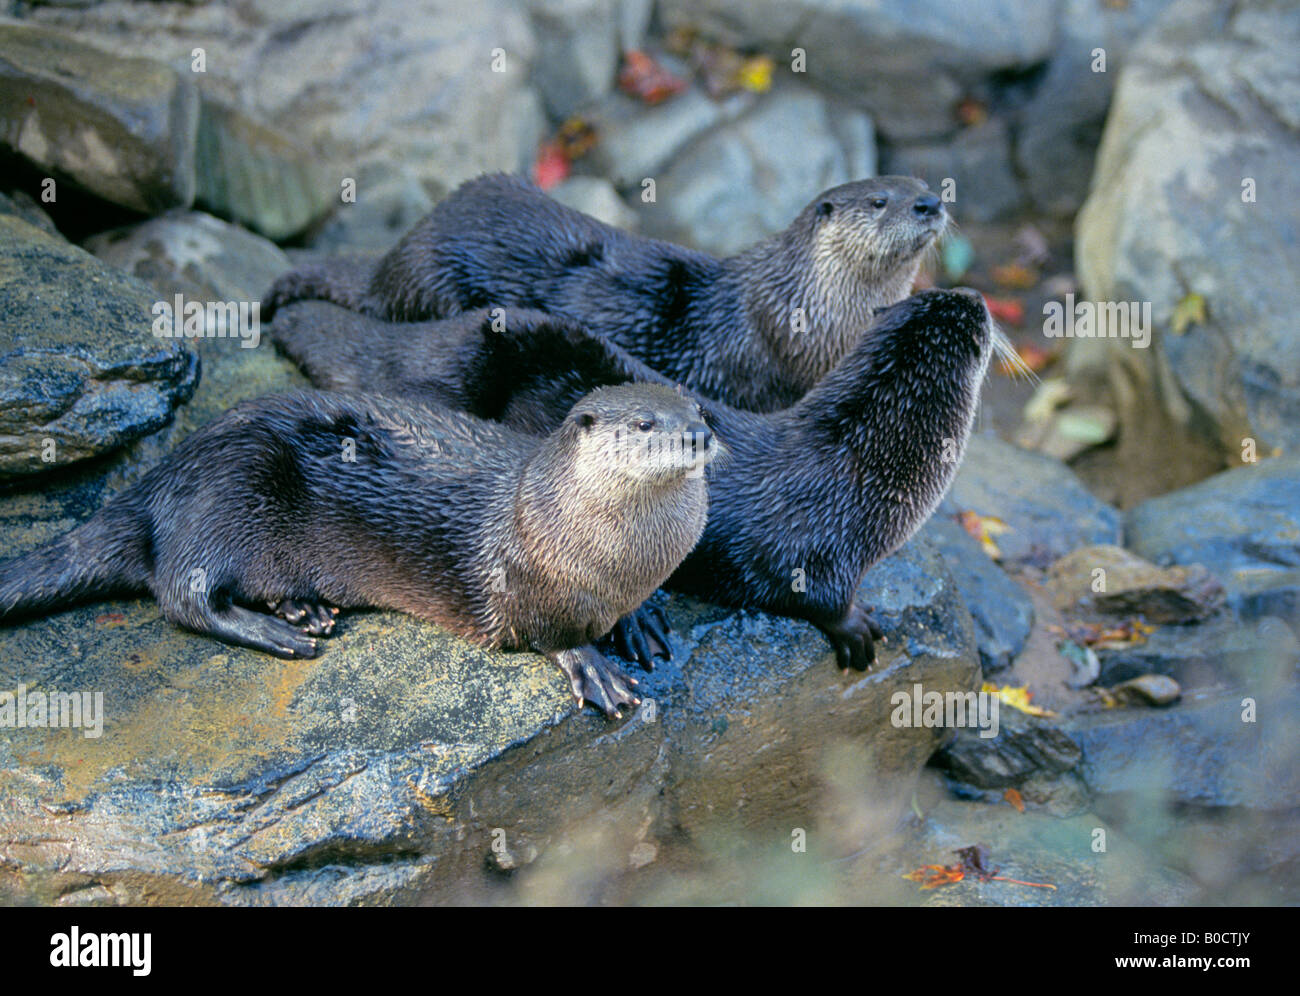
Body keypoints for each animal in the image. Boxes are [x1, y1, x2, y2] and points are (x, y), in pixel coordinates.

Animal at [0, 387, 716, 716]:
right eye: (646, 424)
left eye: (699, 409)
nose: (699, 435)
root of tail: (160, 477)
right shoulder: (526, 580)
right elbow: (552, 635)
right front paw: (595, 667)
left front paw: (642, 620)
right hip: (227, 493)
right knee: (181, 594)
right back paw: (277, 631)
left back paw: (304, 610)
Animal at [269, 288, 993, 670]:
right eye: (981, 316)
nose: (973, 295)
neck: (858, 462)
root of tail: (418, 344)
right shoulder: (815, 547)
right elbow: (820, 599)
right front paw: (858, 628)